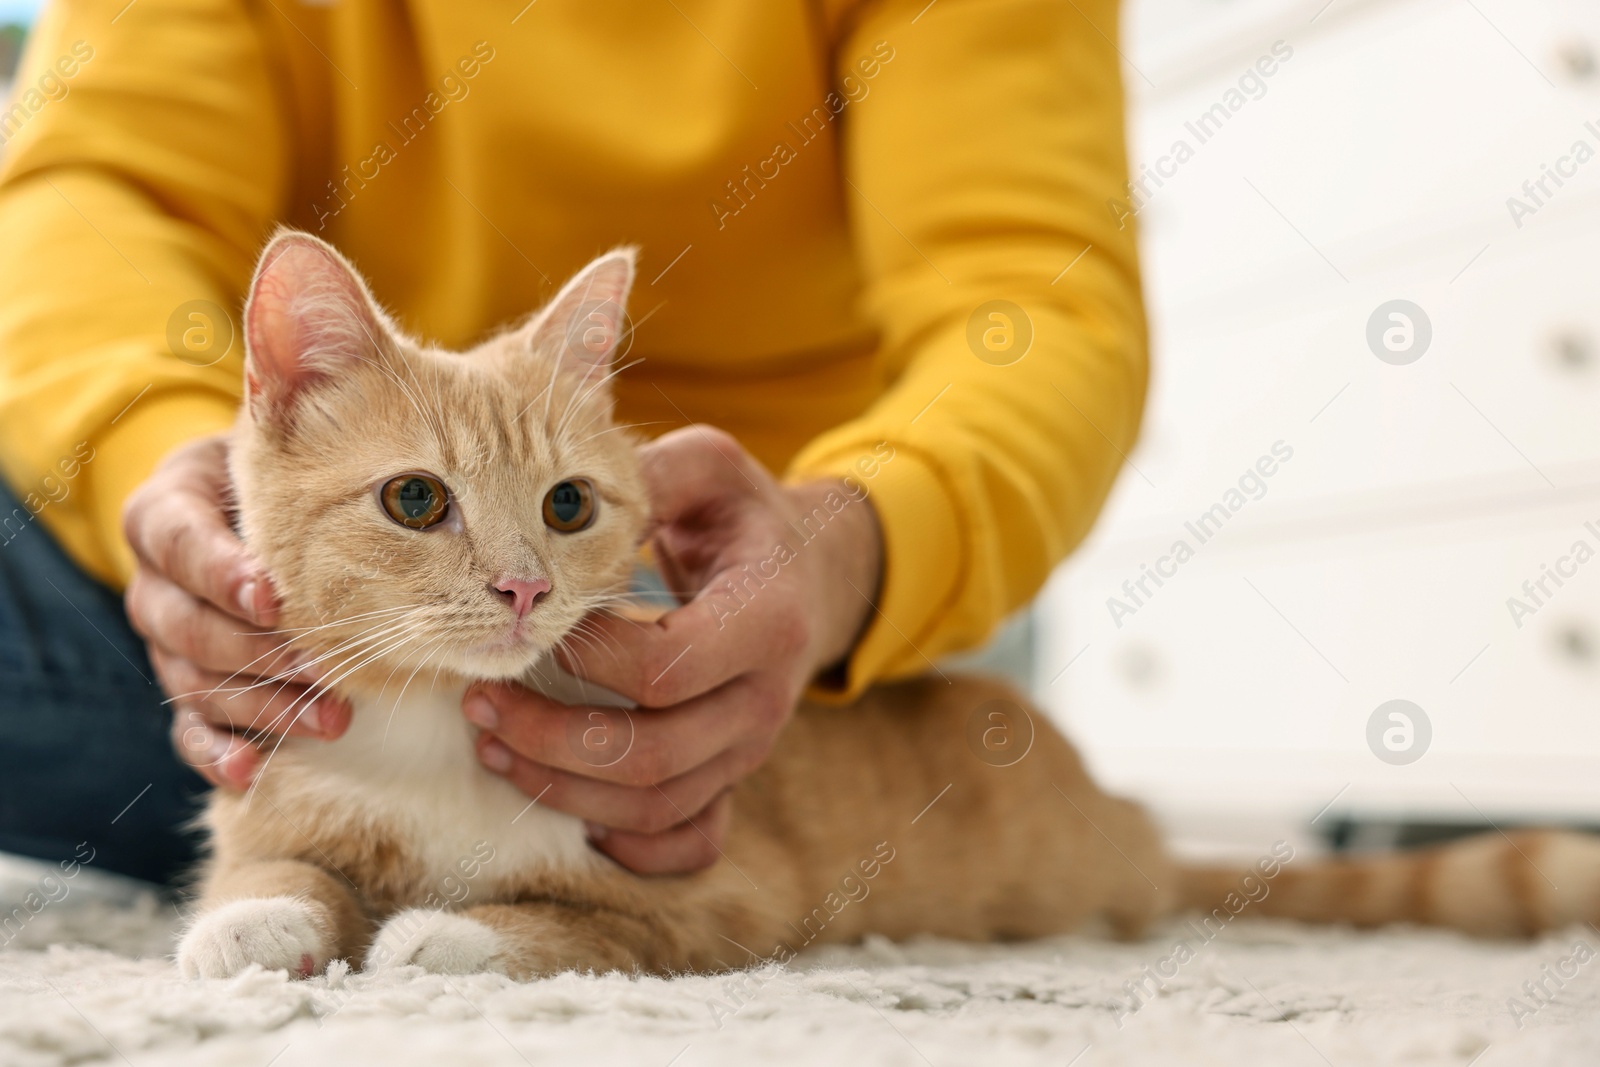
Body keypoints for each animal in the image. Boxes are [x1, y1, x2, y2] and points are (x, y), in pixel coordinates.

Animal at [178, 233, 1600, 985]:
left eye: (568, 505)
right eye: (416, 499)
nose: (525, 584)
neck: (432, 731)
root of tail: (1116, 814)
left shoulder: (727, 893)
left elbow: (582, 921)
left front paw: (446, 933)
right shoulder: (278, 784)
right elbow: (272, 862)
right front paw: (251, 919)